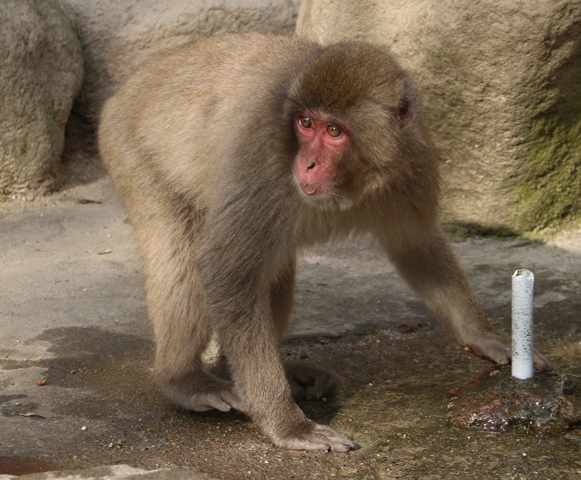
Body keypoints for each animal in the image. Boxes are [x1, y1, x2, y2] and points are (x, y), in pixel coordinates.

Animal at [98, 31, 548, 452]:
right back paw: (185, 380)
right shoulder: (262, 155)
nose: (308, 163)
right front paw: (287, 425)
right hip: (130, 151)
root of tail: (131, 84)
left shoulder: (410, 161)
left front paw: (485, 336)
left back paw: (247, 372)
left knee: (274, 267)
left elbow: (415, 244)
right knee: (184, 250)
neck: (354, 181)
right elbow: (226, 269)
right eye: (305, 124)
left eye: (334, 131)